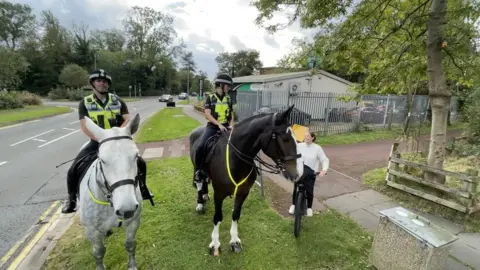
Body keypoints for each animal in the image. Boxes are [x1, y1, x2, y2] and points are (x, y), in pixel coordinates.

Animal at [78, 114, 142, 270]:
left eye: (136, 156)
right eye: (102, 160)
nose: (127, 208)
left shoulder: (133, 222)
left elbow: (130, 244)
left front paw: (132, 266)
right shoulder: (92, 231)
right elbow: (99, 252)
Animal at [189, 104, 302, 256]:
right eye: (285, 139)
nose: (297, 173)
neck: (235, 159)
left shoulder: (243, 193)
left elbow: (236, 215)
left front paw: (234, 241)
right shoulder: (219, 194)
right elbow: (218, 217)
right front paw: (215, 244)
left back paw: (205, 197)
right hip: (196, 168)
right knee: (200, 183)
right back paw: (200, 204)